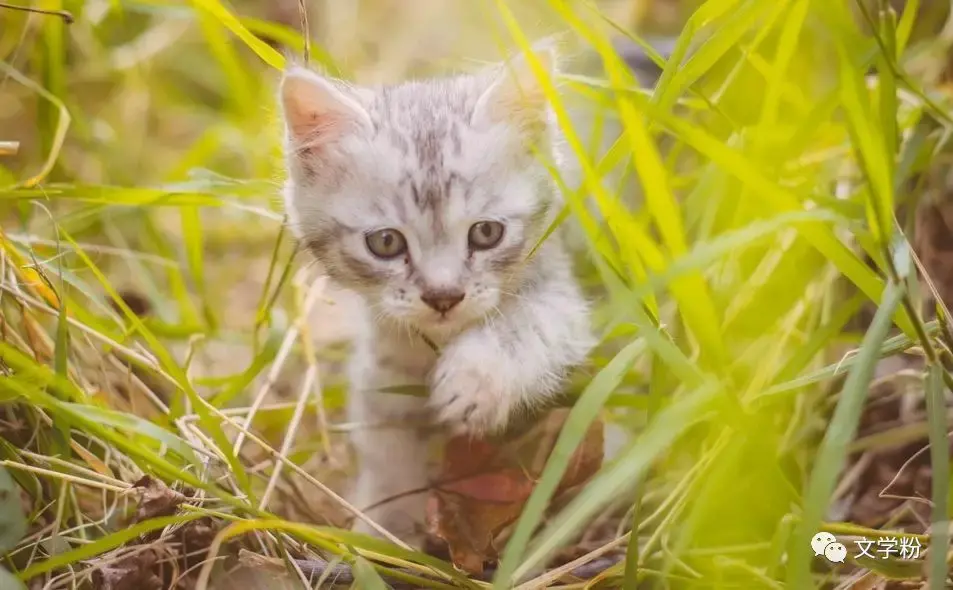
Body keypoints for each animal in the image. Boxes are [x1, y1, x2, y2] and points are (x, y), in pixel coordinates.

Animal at [278, 46, 596, 552]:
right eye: (386, 243)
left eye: (486, 233)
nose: (443, 295)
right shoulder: (383, 363)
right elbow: (387, 442)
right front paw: (384, 529)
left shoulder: (562, 295)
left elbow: (527, 326)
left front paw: (476, 379)